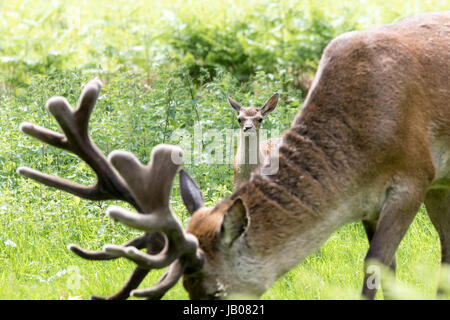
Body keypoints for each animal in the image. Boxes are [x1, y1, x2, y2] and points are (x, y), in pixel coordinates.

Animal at [19, 10, 450, 300]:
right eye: (186, 289)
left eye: (216, 291)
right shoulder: (374, 203)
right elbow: (390, 267)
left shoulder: (414, 175)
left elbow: (375, 265)